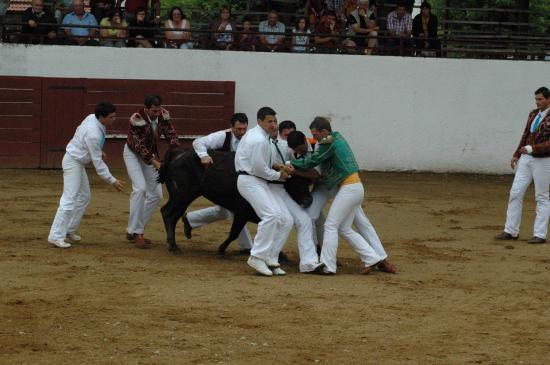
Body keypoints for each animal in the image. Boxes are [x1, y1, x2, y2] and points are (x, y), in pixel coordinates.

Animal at [158, 148, 314, 253]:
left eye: (308, 182)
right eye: (295, 183)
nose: (309, 201)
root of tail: (178, 153)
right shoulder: (241, 213)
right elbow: (234, 233)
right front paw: (221, 249)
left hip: (184, 197)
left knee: (174, 215)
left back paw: (177, 239)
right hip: (181, 195)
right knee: (167, 212)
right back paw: (172, 245)